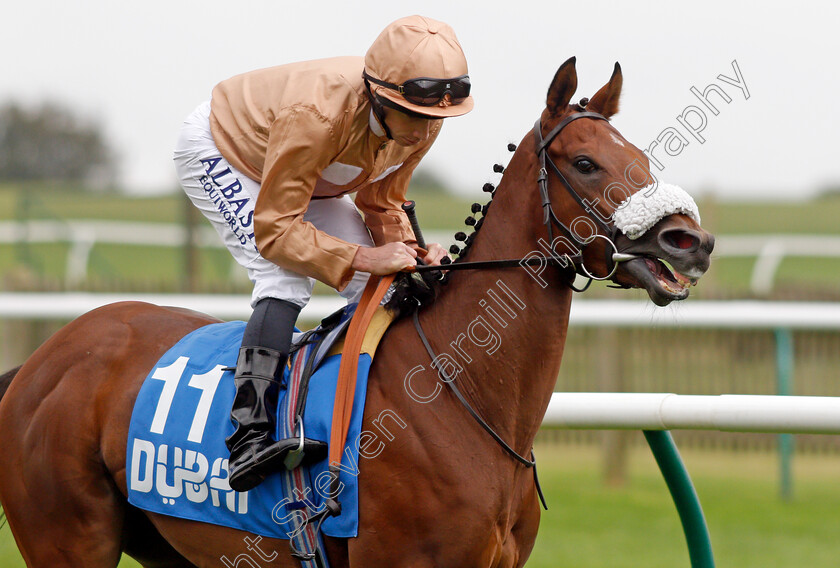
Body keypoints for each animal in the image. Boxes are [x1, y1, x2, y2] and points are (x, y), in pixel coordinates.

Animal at [0, 58, 716, 568]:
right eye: (586, 162)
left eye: (643, 160)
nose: (693, 241)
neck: (461, 396)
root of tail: (40, 361)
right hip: (69, 540)